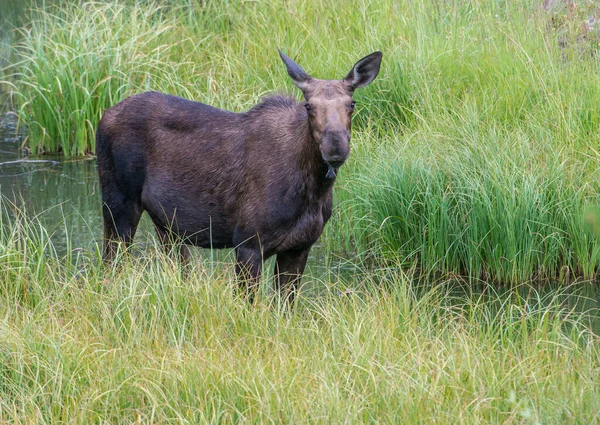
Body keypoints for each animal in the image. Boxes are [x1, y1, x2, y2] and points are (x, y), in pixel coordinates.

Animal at [96, 48, 382, 304]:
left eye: (352, 103)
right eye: (308, 105)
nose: (335, 146)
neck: (313, 189)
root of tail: (103, 116)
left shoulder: (300, 247)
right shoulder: (248, 244)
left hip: (166, 224)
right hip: (118, 206)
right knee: (110, 265)